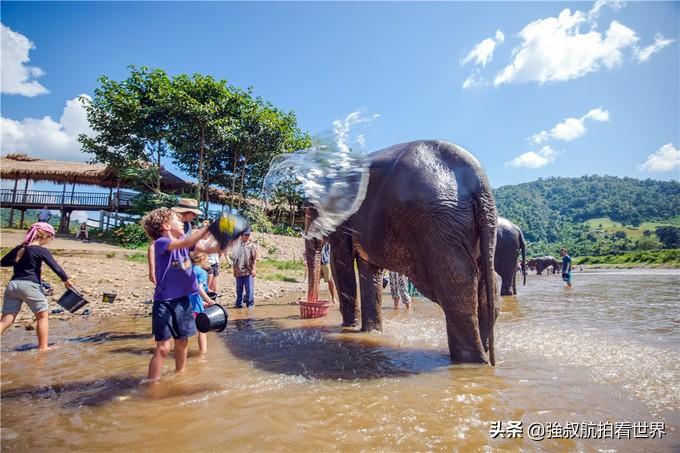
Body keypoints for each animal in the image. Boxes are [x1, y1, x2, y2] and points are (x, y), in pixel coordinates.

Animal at [306, 139, 496, 366]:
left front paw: (348, 328)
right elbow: (368, 270)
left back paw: (471, 362)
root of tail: (479, 181)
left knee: (456, 281)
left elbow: (342, 263)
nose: (310, 304)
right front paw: (370, 332)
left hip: (436, 222)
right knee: (487, 282)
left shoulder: (343, 220)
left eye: (308, 211)